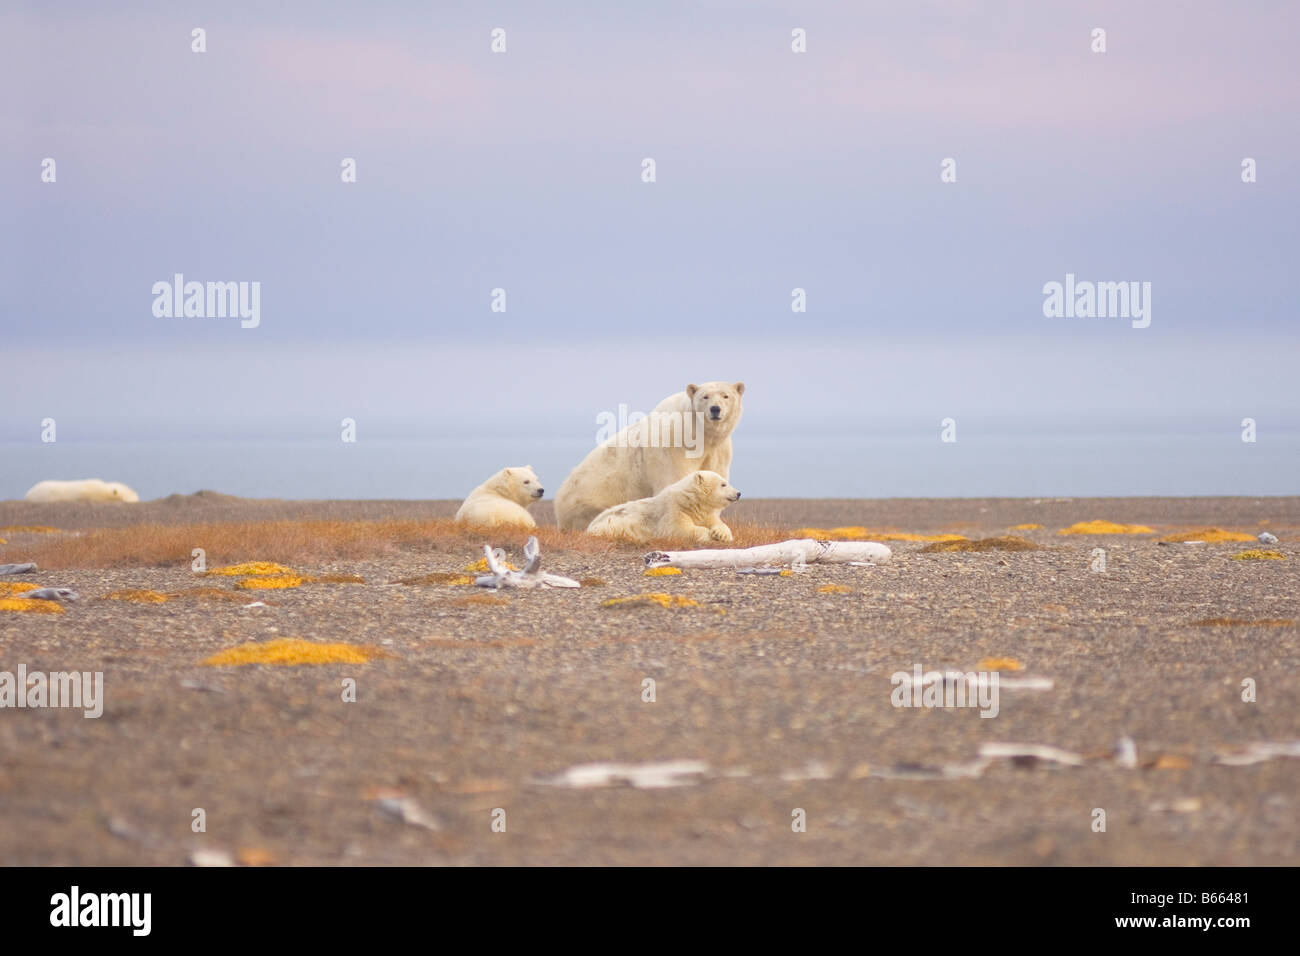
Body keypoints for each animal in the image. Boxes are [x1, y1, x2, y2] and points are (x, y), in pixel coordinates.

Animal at [553, 382, 748, 530]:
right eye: (705, 396)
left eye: (726, 396)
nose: (715, 409)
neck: (699, 434)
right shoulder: (673, 445)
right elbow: (675, 479)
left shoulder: (718, 450)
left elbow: (713, 474)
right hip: (589, 501)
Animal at [587, 470, 743, 546]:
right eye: (723, 484)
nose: (738, 493)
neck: (692, 502)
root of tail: (589, 527)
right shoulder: (674, 508)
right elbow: (677, 528)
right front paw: (708, 535)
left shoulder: (705, 513)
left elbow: (719, 524)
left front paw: (720, 534)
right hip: (611, 525)